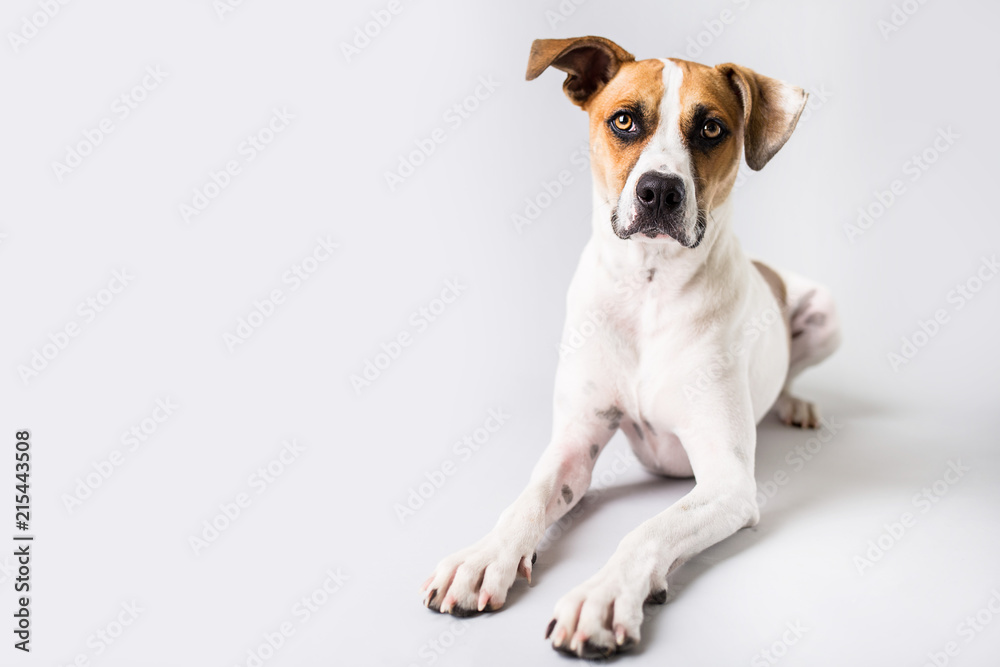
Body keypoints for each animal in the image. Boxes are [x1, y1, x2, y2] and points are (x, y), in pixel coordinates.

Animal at [418, 35, 840, 656]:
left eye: (711, 128)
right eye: (624, 120)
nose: (659, 189)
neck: (649, 288)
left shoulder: (728, 482)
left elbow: (648, 529)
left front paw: (602, 597)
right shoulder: (575, 440)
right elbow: (528, 498)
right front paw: (483, 558)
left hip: (829, 313)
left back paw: (795, 404)